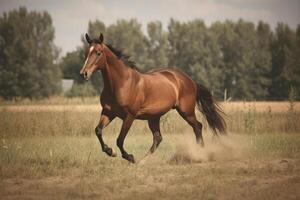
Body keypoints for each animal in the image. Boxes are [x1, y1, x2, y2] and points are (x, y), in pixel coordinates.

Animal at [79, 33, 225, 163]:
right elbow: (98, 130)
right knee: (158, 138)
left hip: (186, 112)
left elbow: (119, 140)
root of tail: (190, 80)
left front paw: (129, 157)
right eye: (86, 53)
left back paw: (201, 153)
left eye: (98, 53)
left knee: (198, 127)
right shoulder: (108, 112)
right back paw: (143, 161)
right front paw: (110, 151)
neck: (121, 84)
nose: (83, 74)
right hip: (154, 117)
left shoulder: (129, 116)